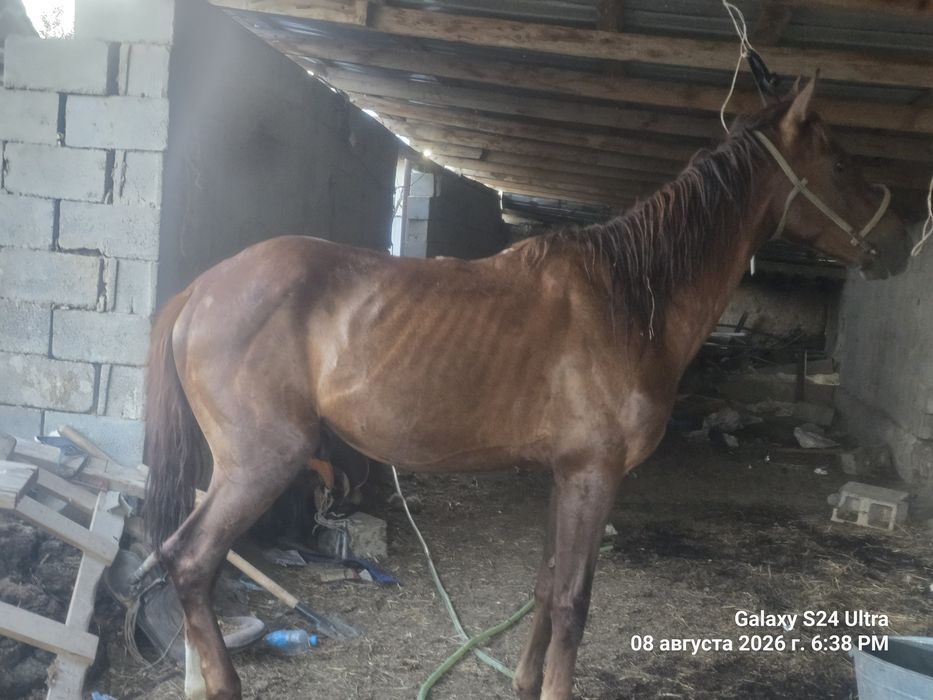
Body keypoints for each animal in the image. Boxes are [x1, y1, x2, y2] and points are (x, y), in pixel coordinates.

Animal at [138, 79, 911, 699]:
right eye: (841, 162)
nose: (903, 242)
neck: (628, 301)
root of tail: (201, 290)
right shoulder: (594, 475)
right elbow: (573, 599)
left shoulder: (563, 475)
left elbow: (545, 584)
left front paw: (524, 679)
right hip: (261, 462)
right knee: (191, 561)